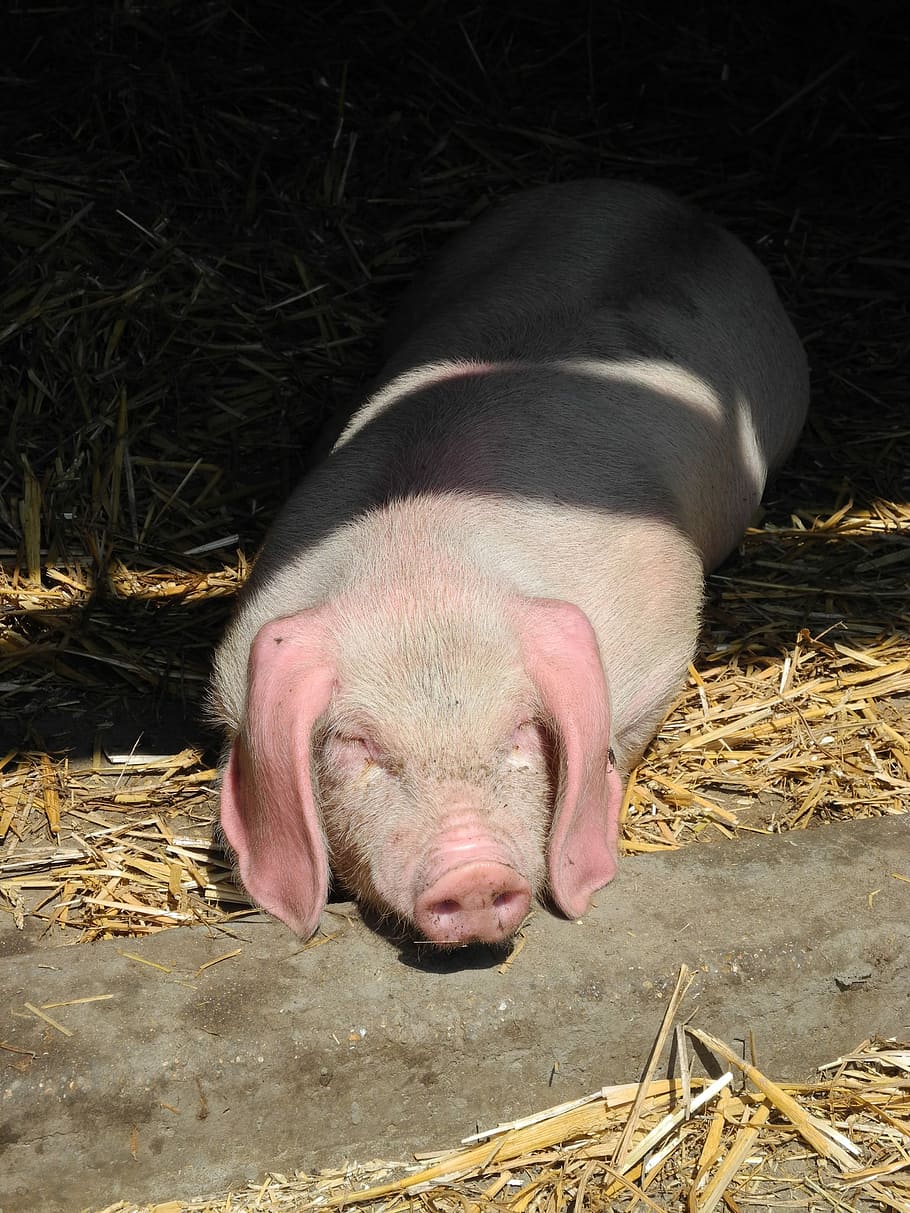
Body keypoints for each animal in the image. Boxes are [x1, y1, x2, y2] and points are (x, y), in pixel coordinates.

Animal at [211, 179, 809, 947]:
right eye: (355, 744)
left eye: (523, 729)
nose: (472, 874)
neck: (421, 575)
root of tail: (665, 204)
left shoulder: (661, 644)